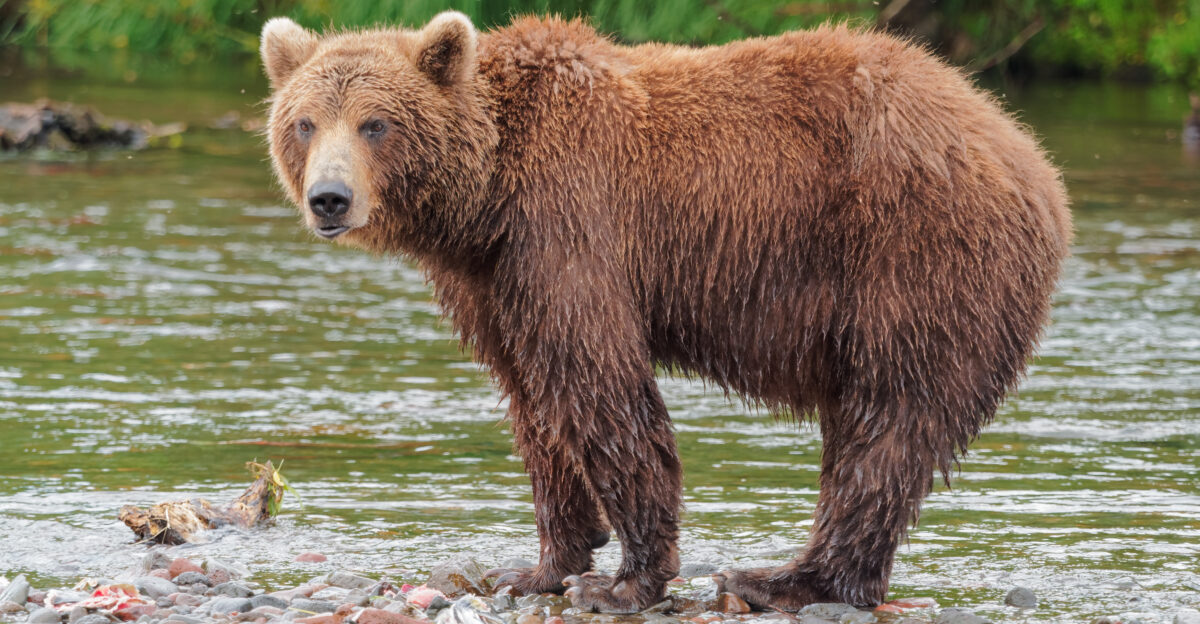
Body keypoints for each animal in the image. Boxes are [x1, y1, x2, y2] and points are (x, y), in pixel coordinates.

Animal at [260, 12, 1071, 614]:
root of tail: (1030, 156)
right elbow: (533, 401)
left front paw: (624, 580)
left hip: (915, 257)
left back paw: (782, 579)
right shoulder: (492, 281)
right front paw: (539, 564)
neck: (485, 198)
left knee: (888, 421)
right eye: (305, 122)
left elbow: (599, 383)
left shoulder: (569, 224)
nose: (329, 198)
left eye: (375, 123)